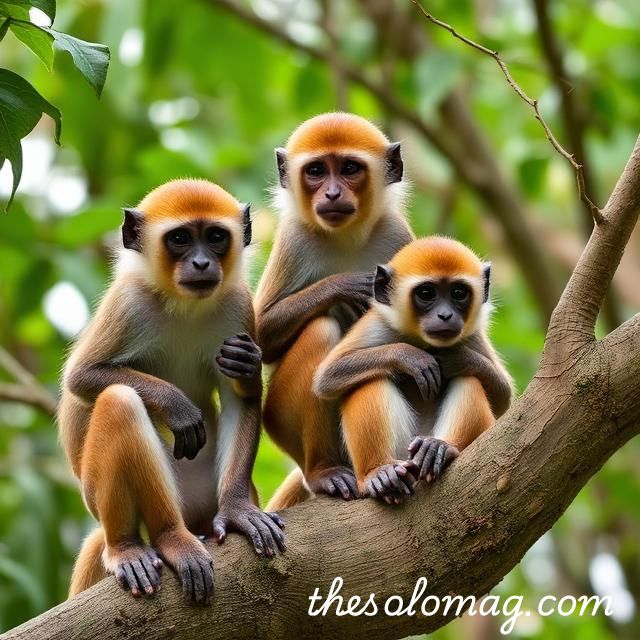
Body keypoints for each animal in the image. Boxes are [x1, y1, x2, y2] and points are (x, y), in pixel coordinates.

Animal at [58, 179, 285, 605]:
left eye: (215, 237)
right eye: (180, 239)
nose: (201, 264)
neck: (184, 305)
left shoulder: (237, 304)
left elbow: (239, 398)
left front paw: (237, 511)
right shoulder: (128, 302)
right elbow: (82, 377)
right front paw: (177, 406)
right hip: (98, 496)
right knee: (119, 401)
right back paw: (152, 543)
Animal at [254, 112, 415, 509]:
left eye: (349, 168)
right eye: (315, 171)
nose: (331, 193)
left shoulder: (396, 234)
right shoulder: (294, 238)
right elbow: (262, 338)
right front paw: (344, 285)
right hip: (277, 419)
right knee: (320, 327)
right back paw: (323, 471)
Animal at [313, 236, 513, 504]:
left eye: (458, 293)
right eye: (426, 293)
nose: (445, 315)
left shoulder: (473, 337)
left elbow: (503, 398)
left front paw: (456, 358)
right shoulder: (376, 325)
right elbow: (327, 378)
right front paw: (411, 357)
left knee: (469, 379)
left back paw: (440, 447)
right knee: (370, 379)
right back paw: (380, 473)